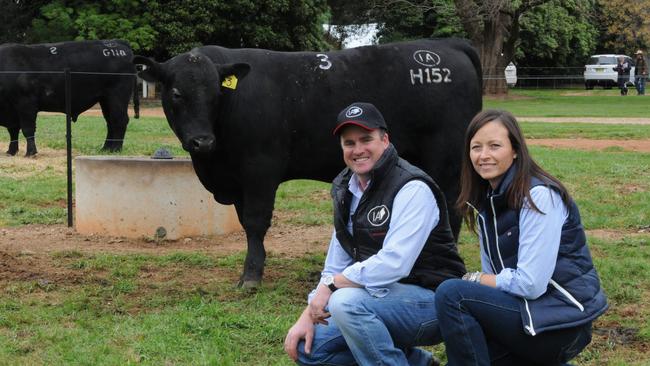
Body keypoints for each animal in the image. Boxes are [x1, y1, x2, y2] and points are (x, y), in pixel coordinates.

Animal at [0, 39, 139, 156]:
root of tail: (118, 43)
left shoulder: (26, 103)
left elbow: (27, 129)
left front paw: (30, 152)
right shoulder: (11, 110)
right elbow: (13, 130)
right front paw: (11, 151)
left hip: (117, 96)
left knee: (119, 120)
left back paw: (115, 149)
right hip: (105, 99)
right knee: (110, 121)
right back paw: (106, 148)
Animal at [135, 38, 480, 288]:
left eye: (214, 95)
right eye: (176, 93)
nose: (203, 141)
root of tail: (446, 45)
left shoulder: (260, 170)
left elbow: (256, 221)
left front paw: (251, 276)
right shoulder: (238, 180)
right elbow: (245, 222)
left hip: (446, 159)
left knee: (450, 208)